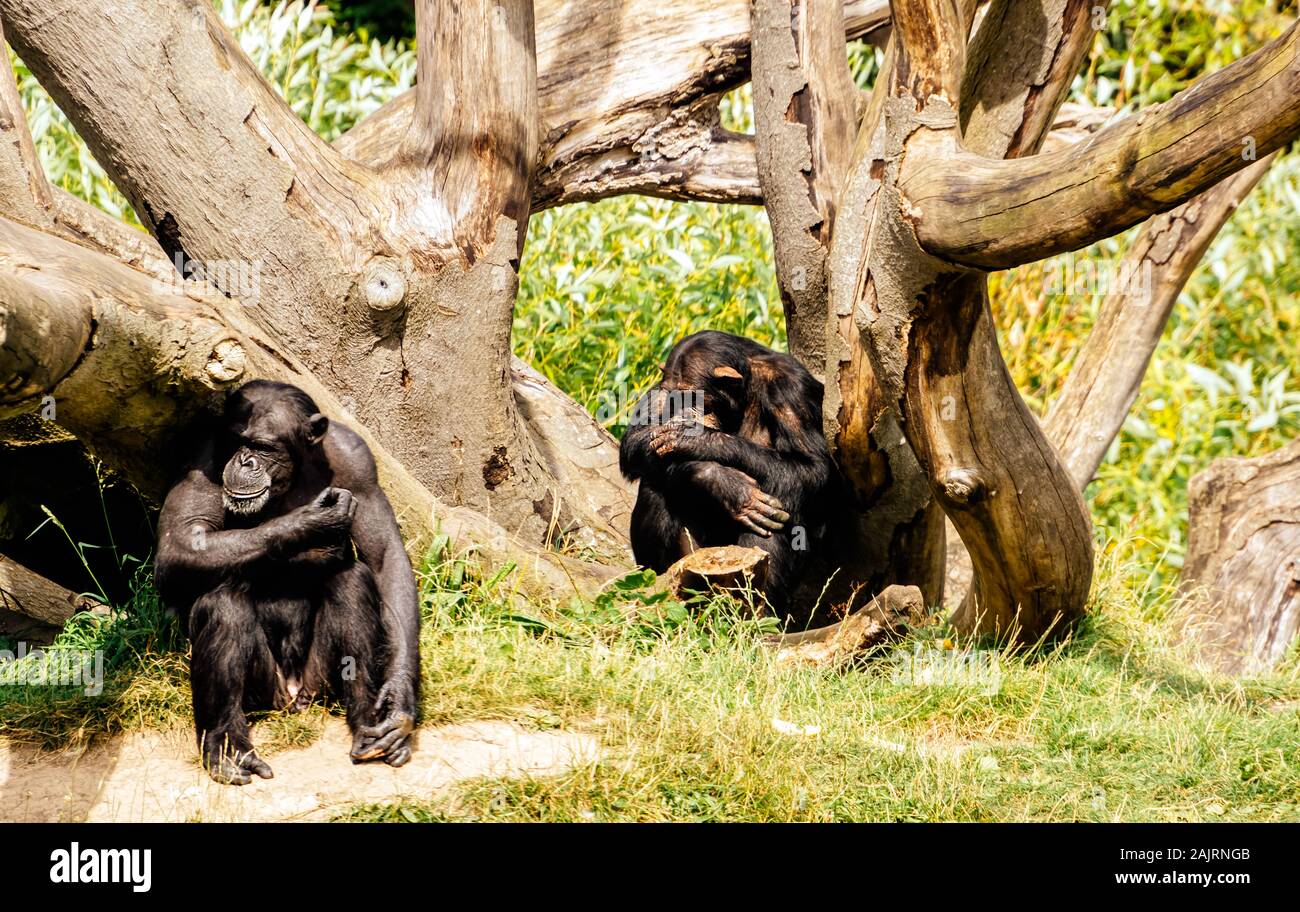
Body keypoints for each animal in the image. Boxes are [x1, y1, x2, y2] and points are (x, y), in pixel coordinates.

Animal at [155, 379, 416, 784]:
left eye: (263, 447)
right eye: (237, 441)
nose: (244, 461)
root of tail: (292, 696)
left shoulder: (359, 461)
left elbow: (385, 559)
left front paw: (398, 700)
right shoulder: (201, 455)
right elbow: (181, 540)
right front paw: (310, 523)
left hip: (317, 682)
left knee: (352, 579)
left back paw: (368, 727)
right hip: (265, 690)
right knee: (222, 597)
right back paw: (228, 746)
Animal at [621, 332, 842, 618]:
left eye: (694, 397)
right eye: (677, 399)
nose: (685, 412)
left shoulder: (791, 389)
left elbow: (812, 468)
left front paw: (696, 440)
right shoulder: (662, 389)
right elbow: (636, 439)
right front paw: (723, 483)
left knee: (784, 501)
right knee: (656, 484)